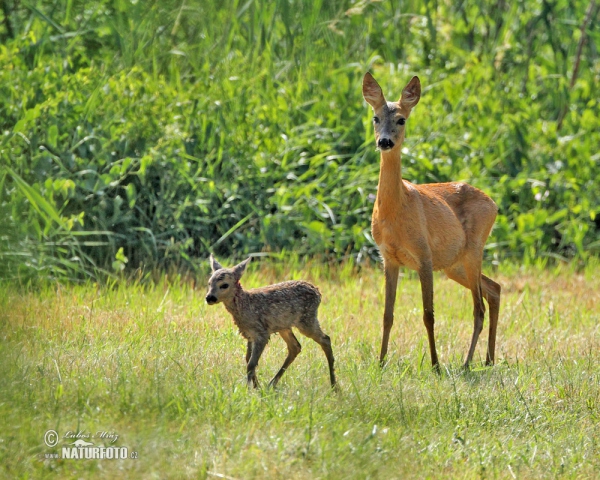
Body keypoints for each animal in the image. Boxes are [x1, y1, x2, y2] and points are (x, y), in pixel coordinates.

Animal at [360, 73, 502, 370]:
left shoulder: (423, 255)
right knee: (494, 288)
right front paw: (380, 362)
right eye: (375, 117)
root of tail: (494, 204)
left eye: (401, 119)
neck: (396, 211)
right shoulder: (388, 258)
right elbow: (387, 315)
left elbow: (428, 315)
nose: (385, 142)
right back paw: (488, 359)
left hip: (474, 250)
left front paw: (435, 365)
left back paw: (467, 363)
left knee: (479, 307)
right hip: (453, 264)